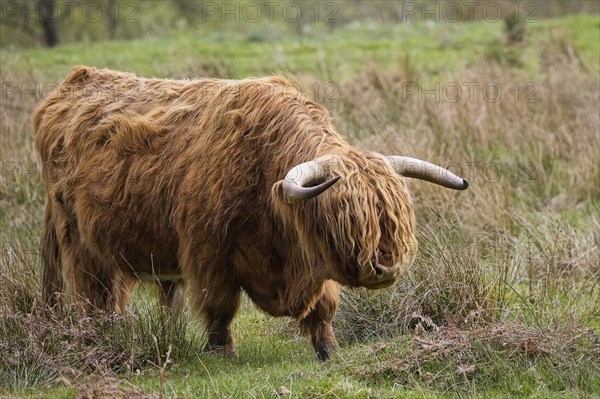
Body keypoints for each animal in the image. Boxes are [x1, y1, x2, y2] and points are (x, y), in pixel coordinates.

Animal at [34, 67, 468, 360]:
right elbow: (220, 307)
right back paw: (101, 338)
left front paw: (328, 350)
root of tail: (75, 82)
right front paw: (221, 351)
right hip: (80, 243)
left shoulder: (310, 261)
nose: (385, 269)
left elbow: (323, 308)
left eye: (394, 219)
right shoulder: (208, 253)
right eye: (345, 217)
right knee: (95, 295)